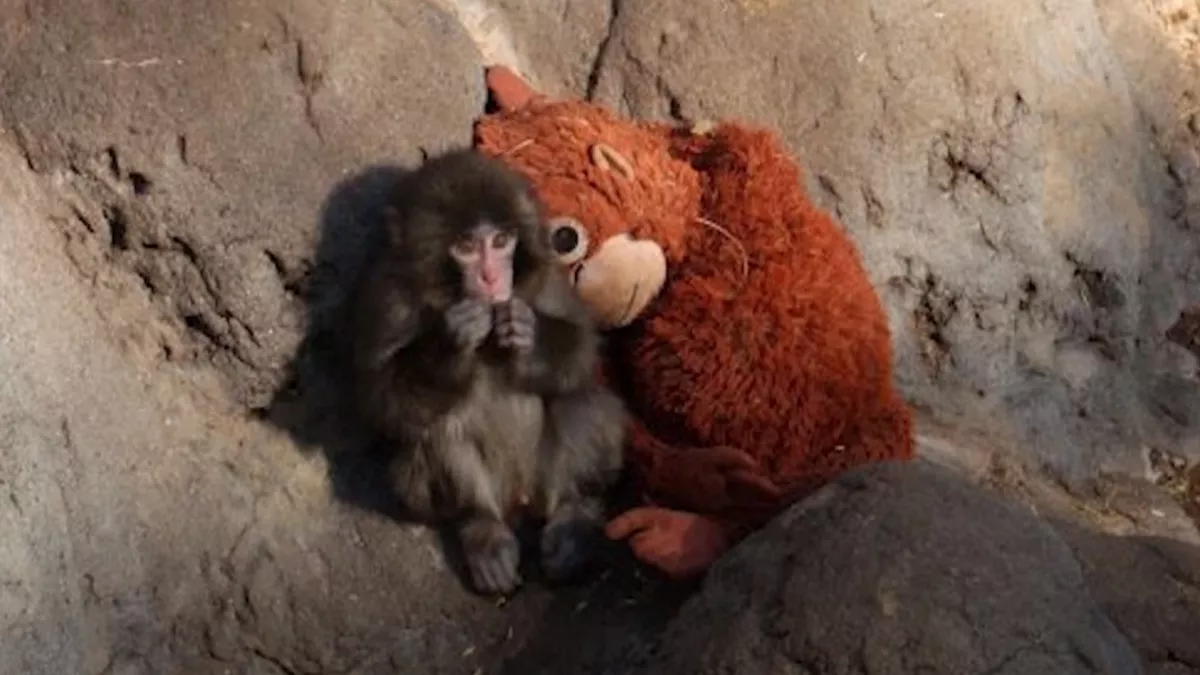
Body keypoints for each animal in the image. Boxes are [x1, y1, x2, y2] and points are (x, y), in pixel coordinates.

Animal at [348, 148, 627, 595]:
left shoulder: (545, 272)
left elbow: (584, 349)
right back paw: (481, 529)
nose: (493, 276)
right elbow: (379, 399)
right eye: (465, 246)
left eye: (500, 242)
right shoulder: (387, 295)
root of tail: (520, 496)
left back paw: (571, 518)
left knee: (581, 399)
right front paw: (451, 342)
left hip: (546, 478)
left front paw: (529, 333)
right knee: (436, 424)